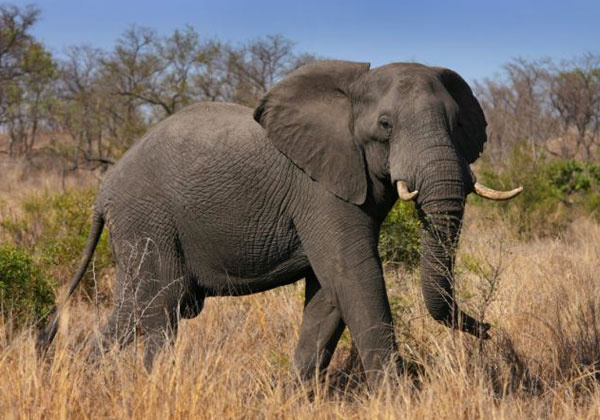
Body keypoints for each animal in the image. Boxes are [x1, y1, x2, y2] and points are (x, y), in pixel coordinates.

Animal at [37, 60, 520, 388]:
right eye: (385, 125)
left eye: (457, 124)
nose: (487, 329)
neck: (350, 91)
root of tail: (103, 191)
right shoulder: (319, 186)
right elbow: (354, 275)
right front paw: (399, 397)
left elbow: (329, 294)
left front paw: (297, 395)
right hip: (148, 219)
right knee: (161, 305)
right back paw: (151, 384)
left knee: (134, 309)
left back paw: (80, 376)